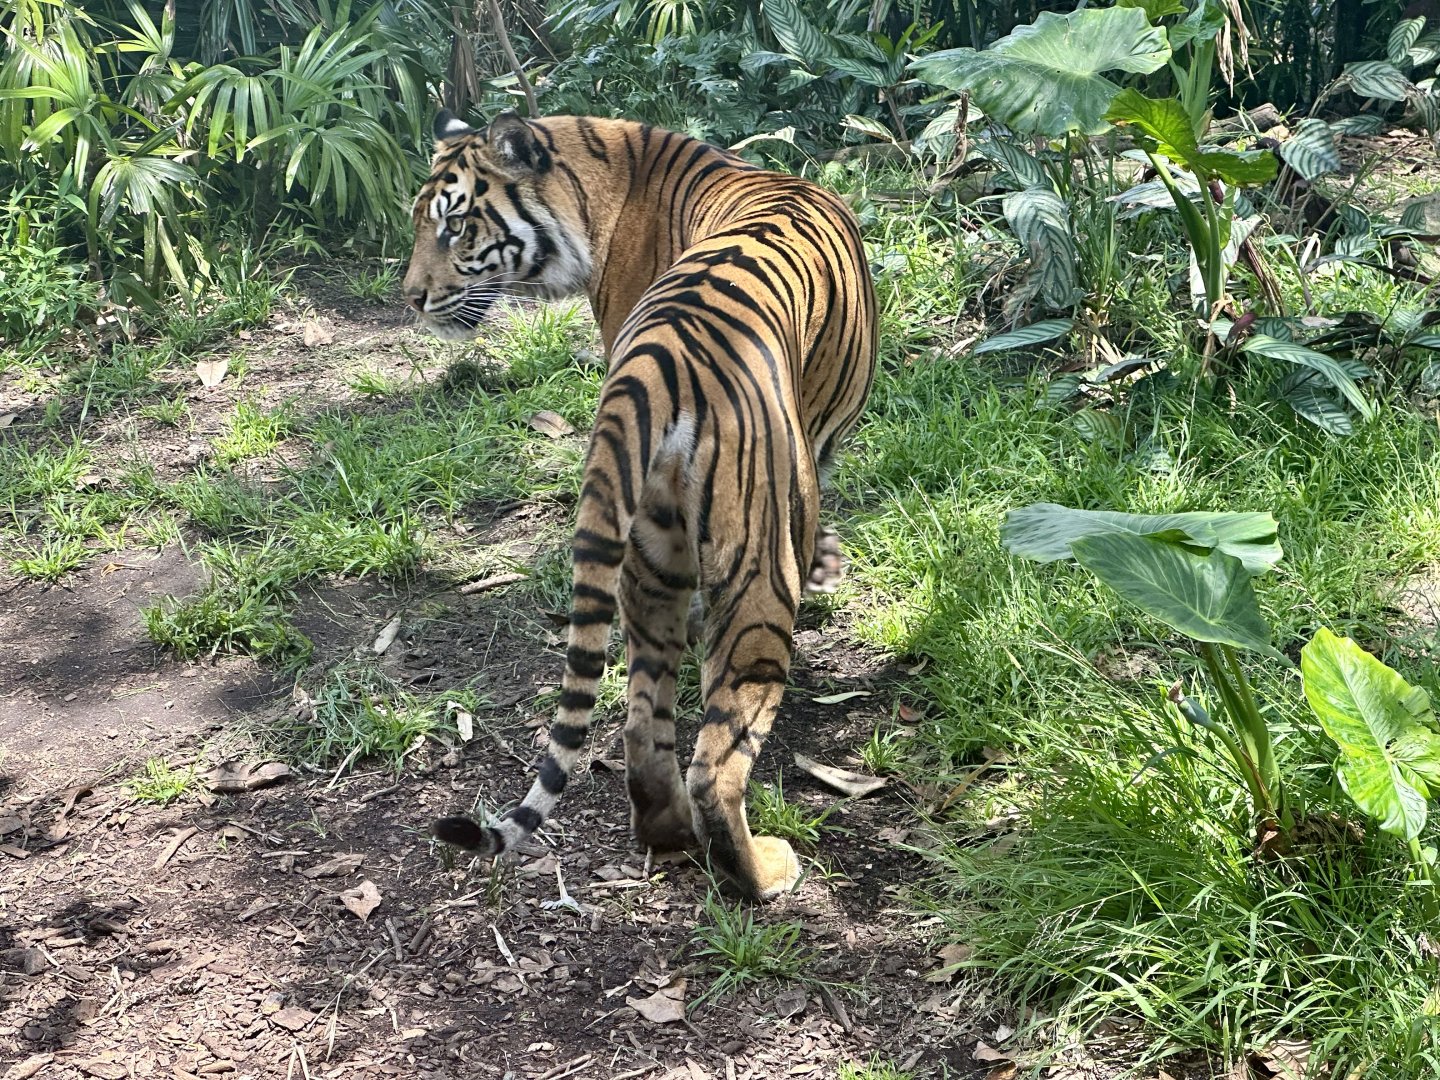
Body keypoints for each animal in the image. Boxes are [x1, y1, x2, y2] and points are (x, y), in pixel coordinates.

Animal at [403, 109, 877, 900]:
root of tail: (662, 353)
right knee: (717, 761)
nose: (410, 298)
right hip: (754, 567)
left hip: (650, 553)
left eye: (455, 226)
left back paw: (668, 834)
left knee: (640, 721)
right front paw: (828, 567)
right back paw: (763, 872)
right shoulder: (809, 461)